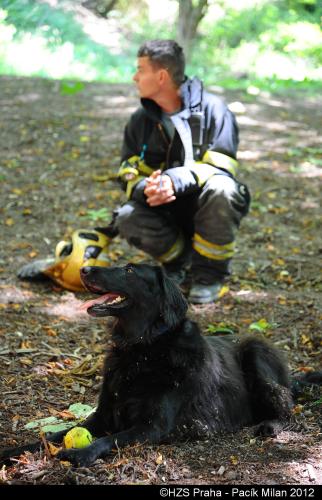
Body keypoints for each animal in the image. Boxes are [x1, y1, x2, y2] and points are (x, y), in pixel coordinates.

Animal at [1, 264, 320, 466]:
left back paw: (271, 424)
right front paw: (14, 450)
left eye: (129, 270)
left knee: (287, 406)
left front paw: (84, 452)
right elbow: (55, 434)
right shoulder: (103, 415)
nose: (84, 269)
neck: (143, 350)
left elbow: (114, 438)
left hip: (255, 350)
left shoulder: (153, 426)